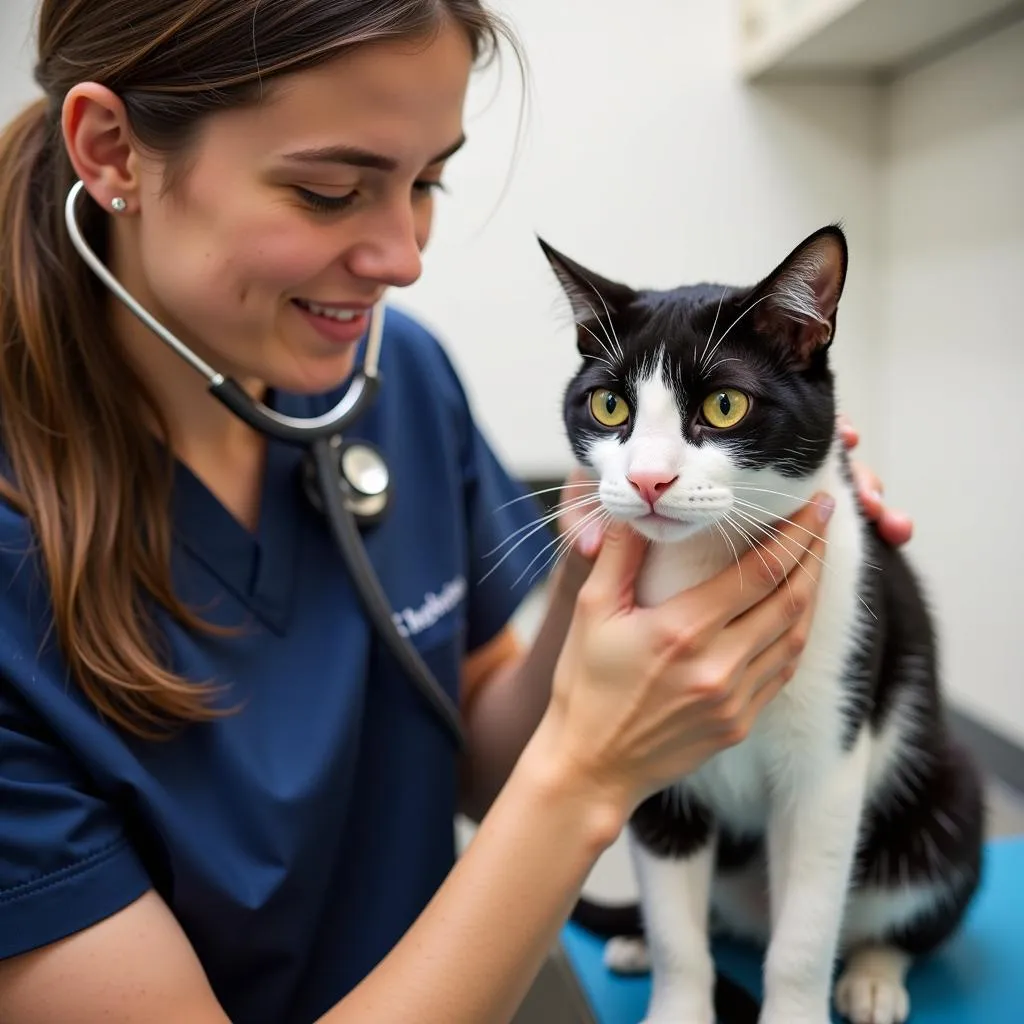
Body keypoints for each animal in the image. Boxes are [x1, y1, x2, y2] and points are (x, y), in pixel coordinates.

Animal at [540, 228, 987, 1024]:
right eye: (609, 404)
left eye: (724, 405)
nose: (648, 479)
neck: (702, 566)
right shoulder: (645, 747)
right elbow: (678, 926)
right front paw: (677, 1003)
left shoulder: (830, 754)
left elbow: (804, 935)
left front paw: (798, 1005)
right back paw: (638, 941)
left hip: (947, 791)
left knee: (904, 905)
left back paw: (874, 974)